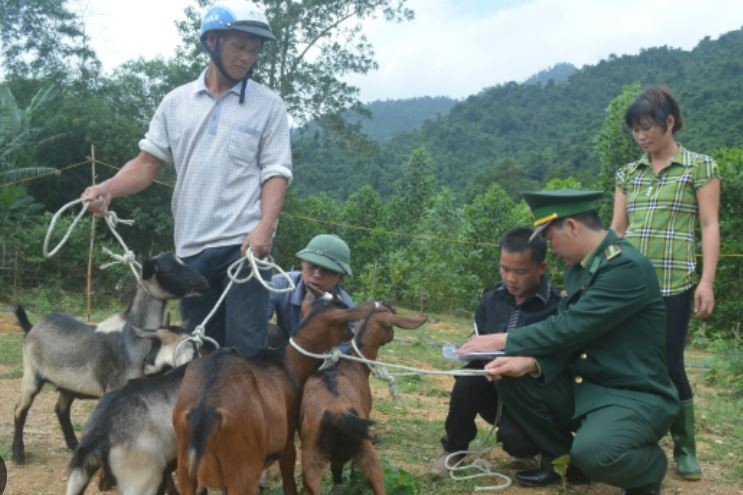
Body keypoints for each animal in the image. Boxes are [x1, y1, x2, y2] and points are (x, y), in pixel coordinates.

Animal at [11, 252, 209, 464]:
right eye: (170, 269)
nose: (203, 282)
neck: (131, 335)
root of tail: (31, 327)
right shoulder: (115, 386)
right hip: (31, 373)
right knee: (20, 409)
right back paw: (18, 455)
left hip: (68, 384)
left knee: (61, 409)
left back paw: (73, 445)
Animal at [173, 294, 378, 495]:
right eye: (344, 317)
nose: (354, 332)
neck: (287, 363)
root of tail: (204, 412)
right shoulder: (287, 438)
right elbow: (289, 482)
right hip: (243, 469)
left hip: (186, 469)